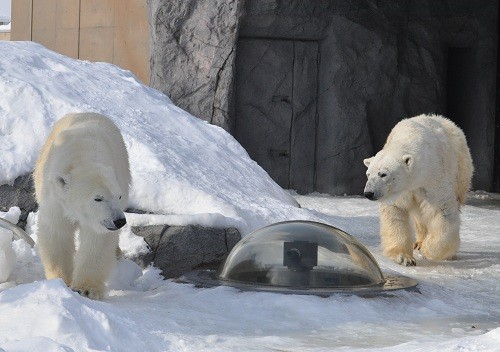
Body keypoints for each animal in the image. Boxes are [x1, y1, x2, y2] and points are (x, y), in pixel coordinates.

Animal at [33, 113, 131, 300]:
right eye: (98, 198)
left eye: (118, 195)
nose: (119, 221)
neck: (81, 157)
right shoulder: (56, 199)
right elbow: (57, 232)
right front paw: (61, 281)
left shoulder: (100, 219)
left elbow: (97, 241)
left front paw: (85, 290)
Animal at [364, 114, 472, 266]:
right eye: (368, 174)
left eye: (383, 174)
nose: (369, 193)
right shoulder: (401, 190)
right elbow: (395, 212)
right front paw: (403, 257)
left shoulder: (434, 177)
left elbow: (442, 211)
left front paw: (428, 249)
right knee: (418, 215)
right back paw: (419, 242)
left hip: (461, 171)